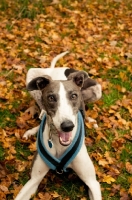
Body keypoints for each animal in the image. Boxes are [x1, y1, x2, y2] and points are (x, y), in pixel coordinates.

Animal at [15, 52, 102, 200]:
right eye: (51, 98)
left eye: (74, 96)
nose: (67, 126)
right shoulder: (34, 180)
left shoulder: (92, 182)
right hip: (31, 75)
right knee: (41, 111)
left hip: (97, 88)